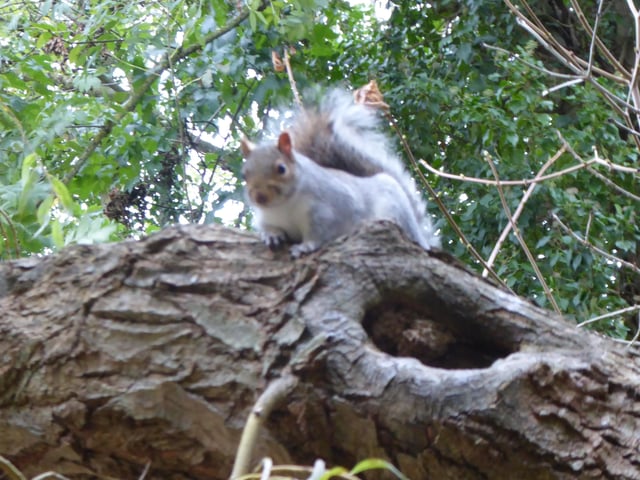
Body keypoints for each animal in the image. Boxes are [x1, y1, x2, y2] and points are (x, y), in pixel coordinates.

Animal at [240, 84, 440, 257]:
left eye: (281, 169)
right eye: (245, 174)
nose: (259, 197)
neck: (283, 206)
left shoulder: (325, 212)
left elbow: (319, 234)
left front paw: (305, 247)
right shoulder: (266, 217)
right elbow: (267, 227)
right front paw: (271, 235)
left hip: (396, 209)